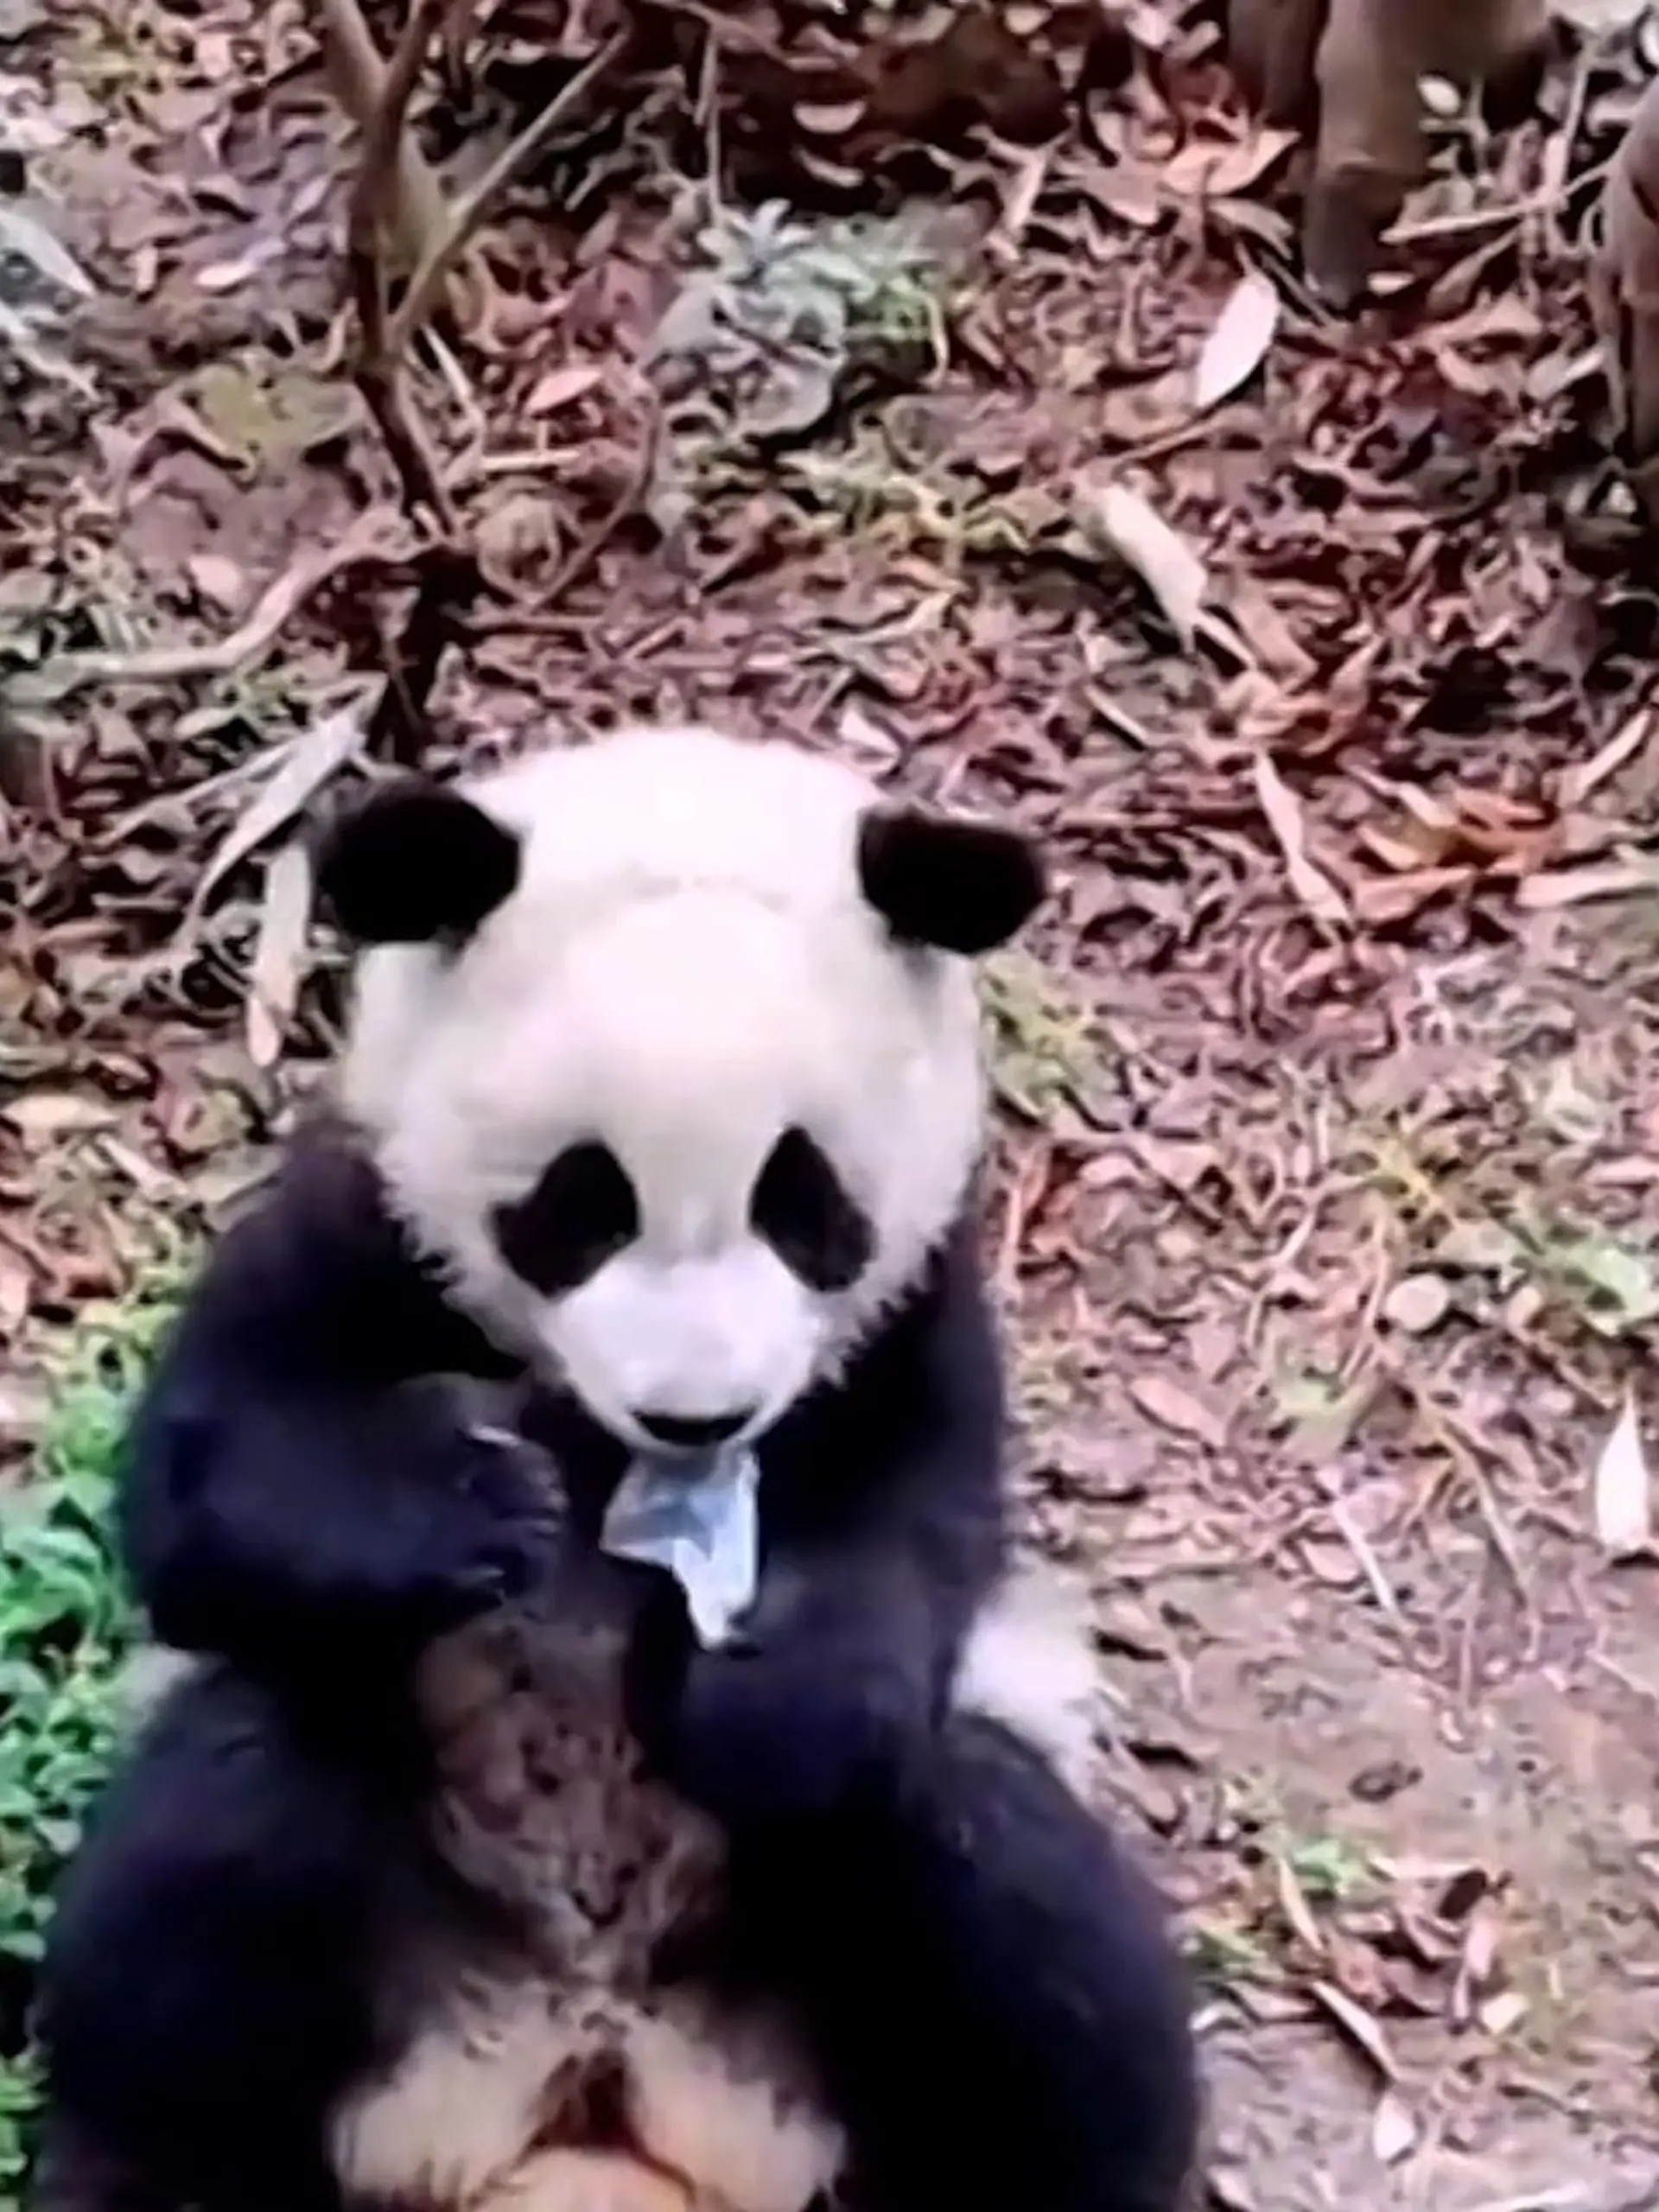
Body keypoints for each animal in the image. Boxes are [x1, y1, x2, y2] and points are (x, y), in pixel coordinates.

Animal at [29, 724, 1201, 2212]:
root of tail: (593, 2061)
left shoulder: (911, 1319)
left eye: (802, 1202)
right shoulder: (362, 1222)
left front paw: (749, 1687)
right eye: (583, 1204)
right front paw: (467, 1500)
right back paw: (149, 2167)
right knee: (206, 1874)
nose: (698, 1417)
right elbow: (203, 1497)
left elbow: (916, 1541)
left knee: (1021, 1914)